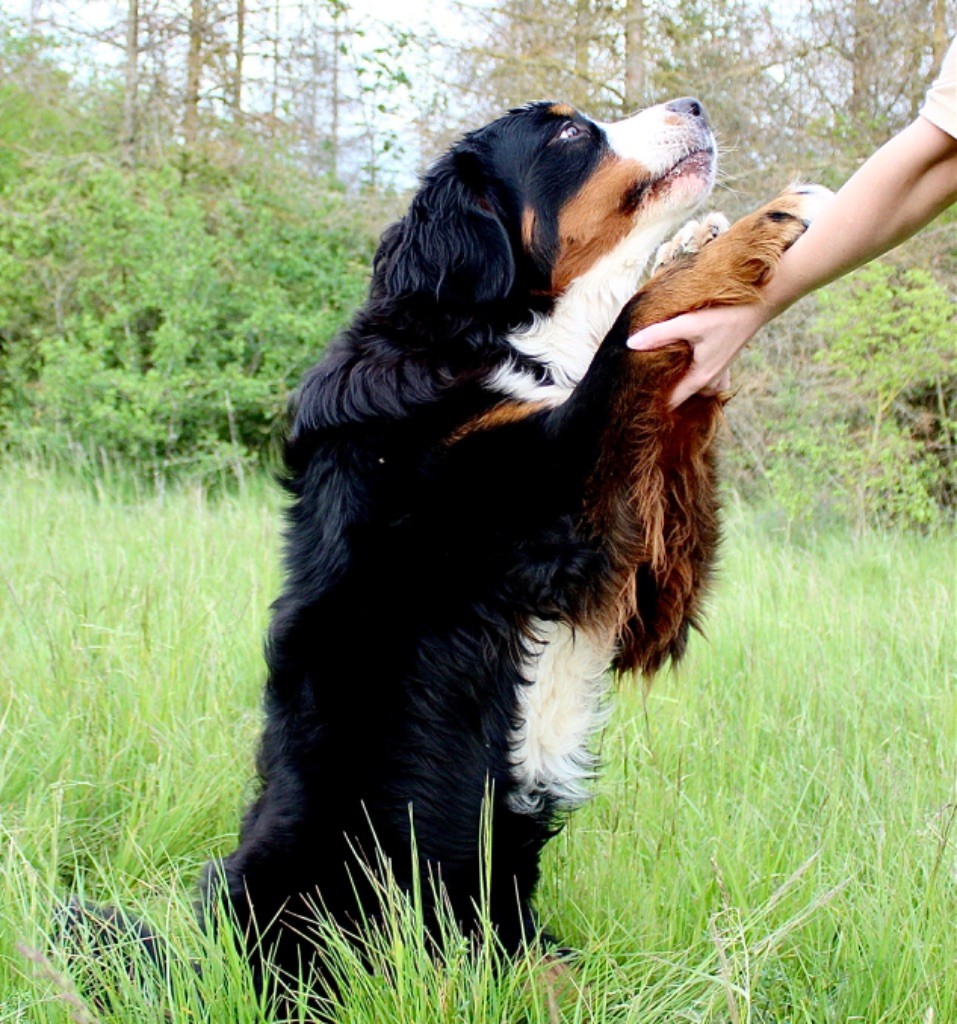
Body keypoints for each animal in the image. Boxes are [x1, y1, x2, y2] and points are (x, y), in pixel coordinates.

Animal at [69, 94, 831, 991]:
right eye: (567, 133)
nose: (693, 104)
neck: (498, 336)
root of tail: (197, 957)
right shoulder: (544, 499)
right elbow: (625, 339)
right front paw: (750, 232)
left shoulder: (636, 582)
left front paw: (699, 256)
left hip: (526, 943)